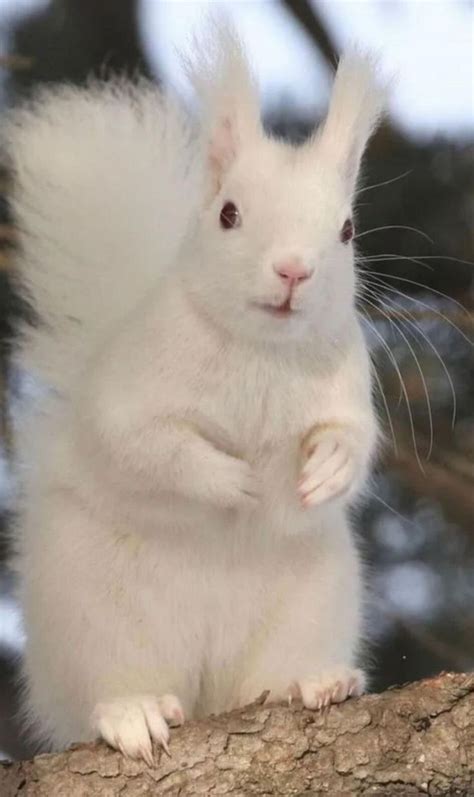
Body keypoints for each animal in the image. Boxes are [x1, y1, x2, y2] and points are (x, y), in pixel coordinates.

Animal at [5, 25, 384, 763]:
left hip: (311, 603)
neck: (259, 351)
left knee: (269, 676)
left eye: (348, 229)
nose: (293, 270)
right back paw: (133, 711)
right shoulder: (134, 389)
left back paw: (318, 681)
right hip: (96, 615)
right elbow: (146, 446)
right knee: (108, 685)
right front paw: (234, 481)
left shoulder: (348, 384)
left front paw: (325, 469)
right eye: (228, 213)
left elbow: (354, 438)